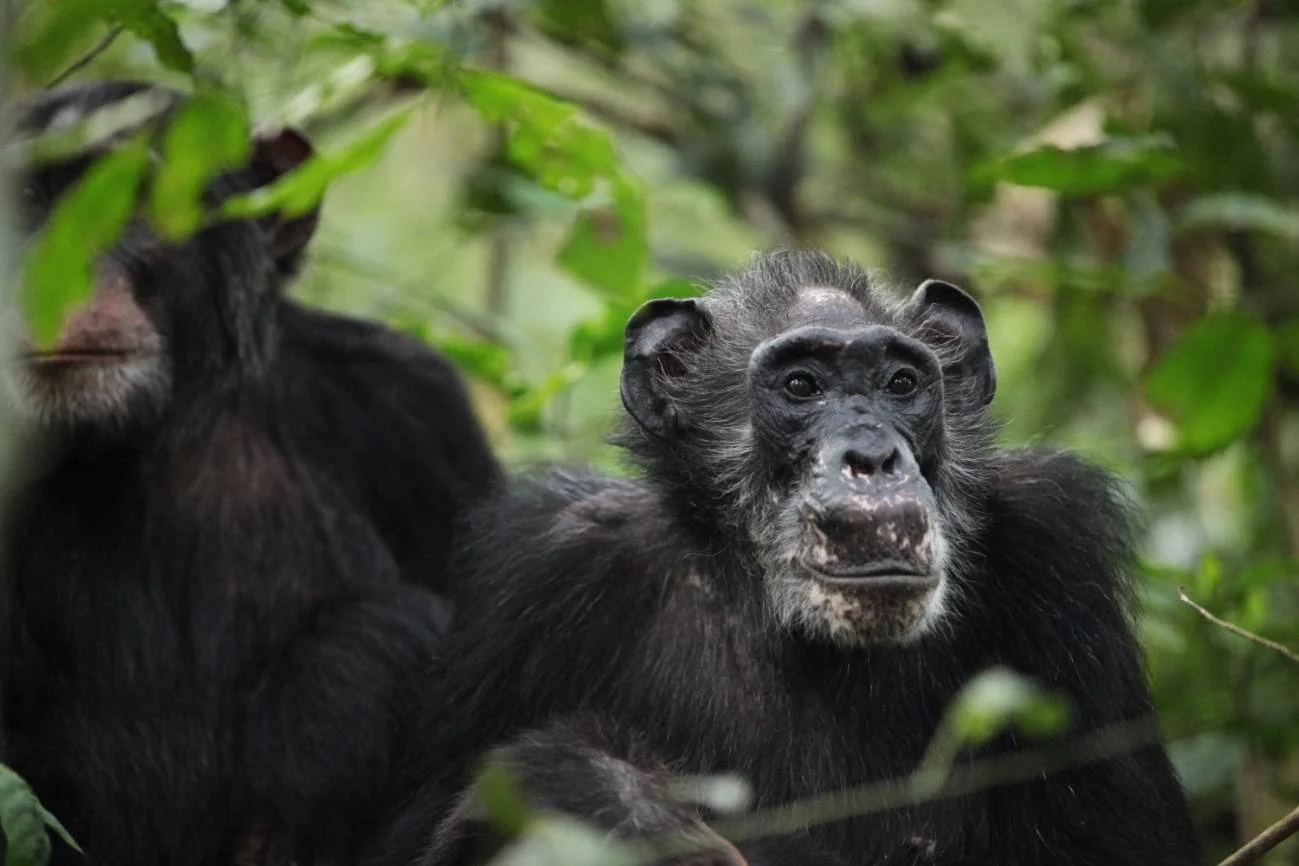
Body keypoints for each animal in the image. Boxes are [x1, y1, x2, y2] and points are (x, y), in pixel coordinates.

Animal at [363, 246, 1195, 862]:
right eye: (801, 385)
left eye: (900, 383)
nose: (870, 456)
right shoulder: (540, 569)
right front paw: (606, 800)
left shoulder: (1057, 550)